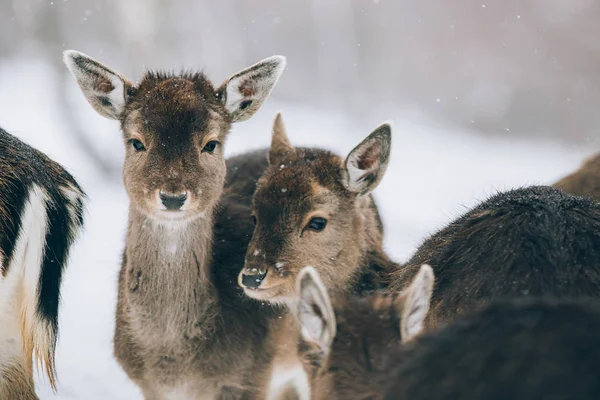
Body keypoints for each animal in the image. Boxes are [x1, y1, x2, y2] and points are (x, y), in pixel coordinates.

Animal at [62, 51, 288, 398]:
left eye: (210, 144)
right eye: (137, 142)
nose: (172, 197)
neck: (175, 365)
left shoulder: (252, 377)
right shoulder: (149, 386)